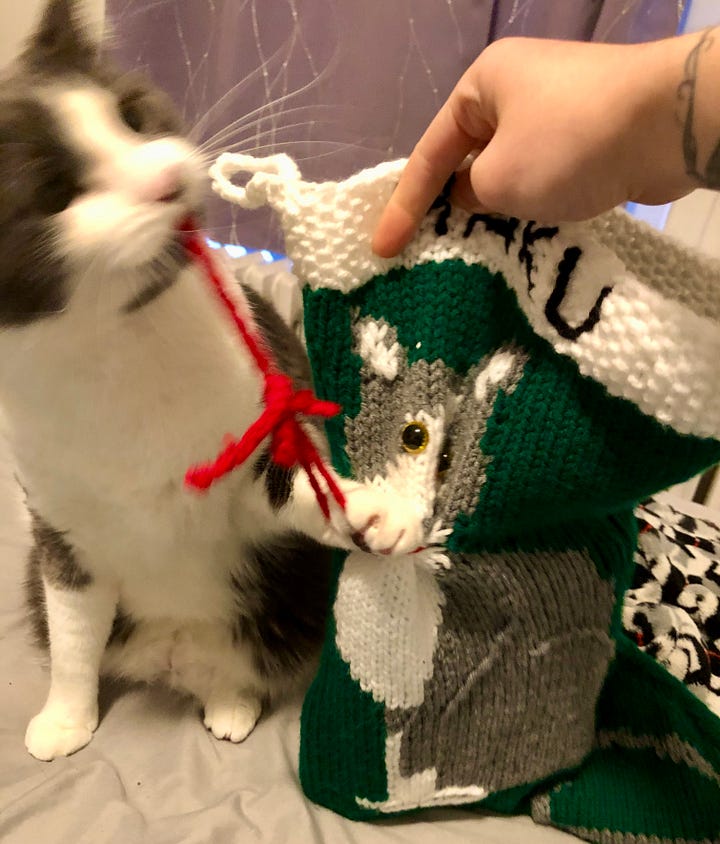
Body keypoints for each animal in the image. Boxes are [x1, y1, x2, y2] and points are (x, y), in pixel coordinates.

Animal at [0, 0, 410, 760]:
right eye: (55, 193)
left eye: (133, 116)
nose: (167, 176)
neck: (118, 344)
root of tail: (175, 652)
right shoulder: (61, 525)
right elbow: (72, 634)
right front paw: (66, 717)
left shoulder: (253, 445)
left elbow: (294, 481)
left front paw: (374, 508)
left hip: (286, 600)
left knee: (250, 659)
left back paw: (231, 701)